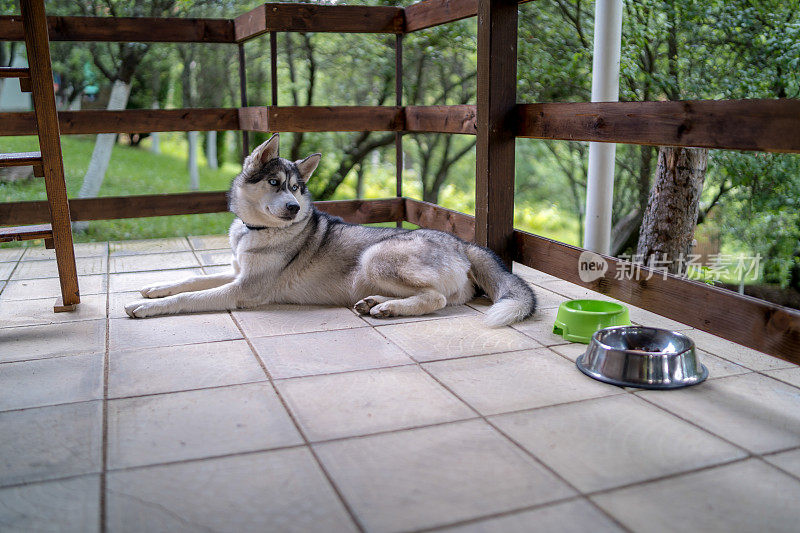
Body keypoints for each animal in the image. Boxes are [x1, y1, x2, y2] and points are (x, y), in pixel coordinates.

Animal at [125, 134, 536, 324]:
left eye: (296, 188)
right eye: (274, 182)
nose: (294, 208)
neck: (255, 230)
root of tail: (463, 243)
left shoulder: (243, 289)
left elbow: (189, 297)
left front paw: (145, 307)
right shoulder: (236, 272)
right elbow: (191, 279)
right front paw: (155, 288)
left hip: (374, 258)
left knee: (435, 298)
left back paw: (387, 308)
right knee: (440, 297)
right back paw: (376, 303)